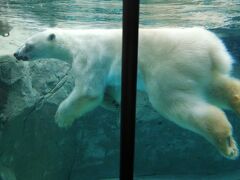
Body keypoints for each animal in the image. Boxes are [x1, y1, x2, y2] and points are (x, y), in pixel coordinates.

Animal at [13, 26, 240, 159]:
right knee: (218, 86)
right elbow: (109, 89)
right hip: (200, 67)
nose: (15, 53)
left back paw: (224, 141)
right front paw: (114, 104)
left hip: (169, 67)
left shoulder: (89, 57)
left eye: (28, 44)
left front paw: (61, 118)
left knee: (172, 102)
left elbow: (88, 91)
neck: (76, 41)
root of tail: (212, 48)